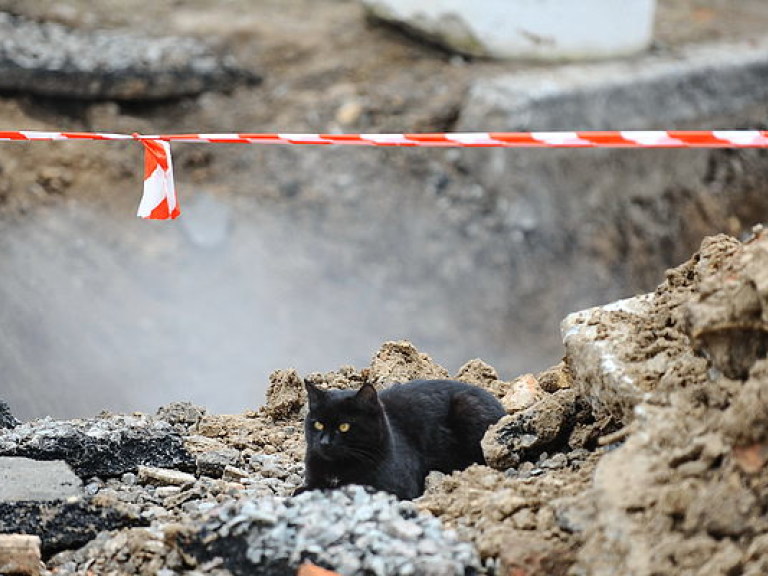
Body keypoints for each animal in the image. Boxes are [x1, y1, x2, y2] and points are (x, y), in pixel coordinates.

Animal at [296, 380, 508, 498]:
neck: (338, 468)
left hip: (468, 408)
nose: (324, 442)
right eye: (318, 424)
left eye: (344, 426)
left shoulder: (394, 488)